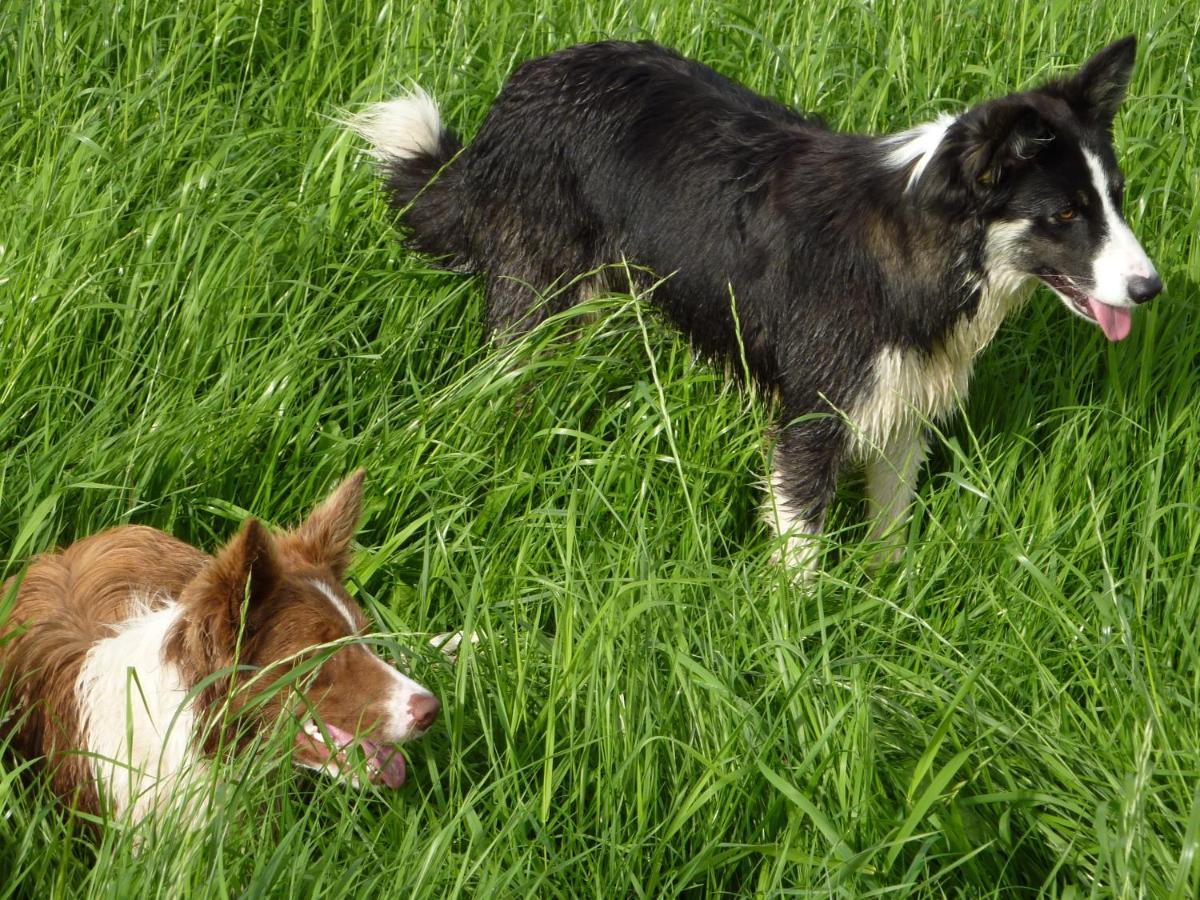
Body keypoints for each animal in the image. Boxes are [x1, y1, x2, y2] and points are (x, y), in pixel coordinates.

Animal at [350, 38, 1156, 573]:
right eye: (1063, 215)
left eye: (1116, 198)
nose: (1152, 289)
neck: (923, 241)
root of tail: (523, 84)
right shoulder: (812, 418)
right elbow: (799, 553)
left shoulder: (901, 407)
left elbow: (890, 534)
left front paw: (888, 605)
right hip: (536, 296)